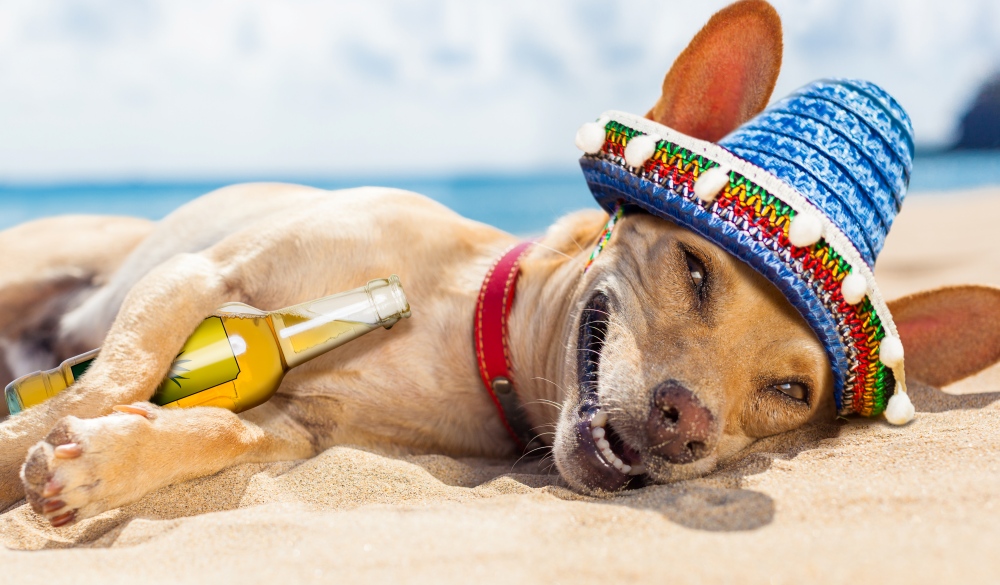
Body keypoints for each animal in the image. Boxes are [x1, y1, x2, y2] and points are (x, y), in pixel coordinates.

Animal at [1, 0, 1000, 528]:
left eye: (792, 392)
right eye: (694, 267)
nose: (686, 423)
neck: (454, 324)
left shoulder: (295, 429)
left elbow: (216, 429)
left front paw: (100, 463)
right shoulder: (203, 280)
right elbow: (108, 380)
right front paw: (30, 439)